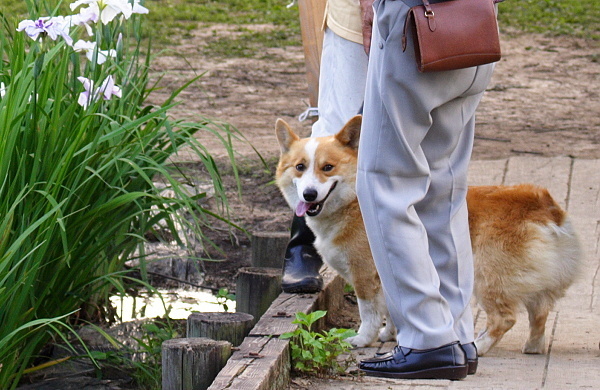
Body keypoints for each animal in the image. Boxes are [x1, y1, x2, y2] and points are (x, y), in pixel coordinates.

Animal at [276, 114, 580, 354]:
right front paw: (391, 335)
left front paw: (363, 339)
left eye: (328, 167)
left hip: (487, 277)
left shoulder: (364, 275)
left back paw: (479, 347)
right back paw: (533, 347)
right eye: (300, 167)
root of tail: (544, 206)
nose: (309, 194)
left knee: (505, 319)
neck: (352, 201)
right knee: (539, 313)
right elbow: (392, 311)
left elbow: (369, 312)